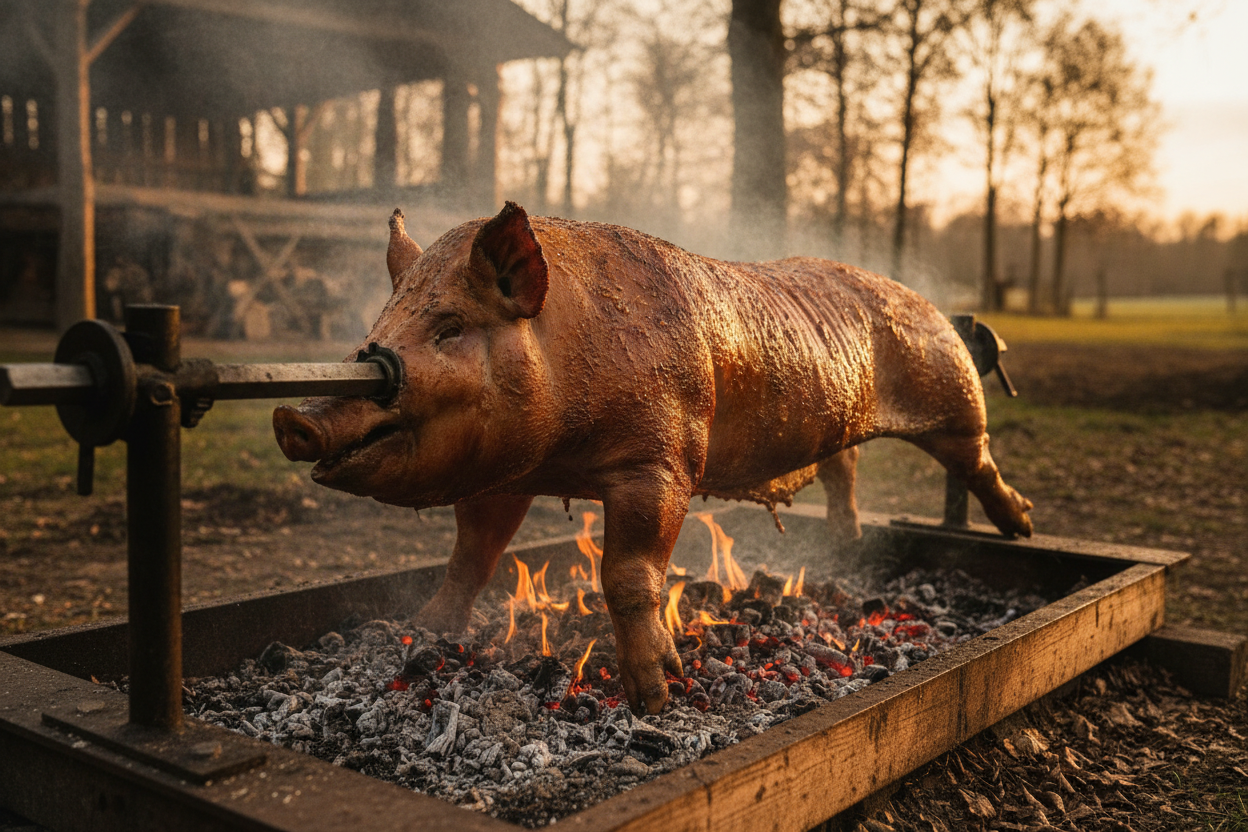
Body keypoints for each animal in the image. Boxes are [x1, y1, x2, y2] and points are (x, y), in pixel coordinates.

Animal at [273, 202, 1033, 714]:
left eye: (450, 327)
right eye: (380, 323)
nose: (293, 418)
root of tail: (934, 306)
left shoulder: (661, 460)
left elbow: (628, 574)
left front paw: (658, 696)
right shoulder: (504, 477)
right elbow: (474, 555)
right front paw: (425, 634)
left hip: (953, 392)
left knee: (976, 459)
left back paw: (1021, 526)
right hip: (848, 428)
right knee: (844, 470)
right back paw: (846, 542)